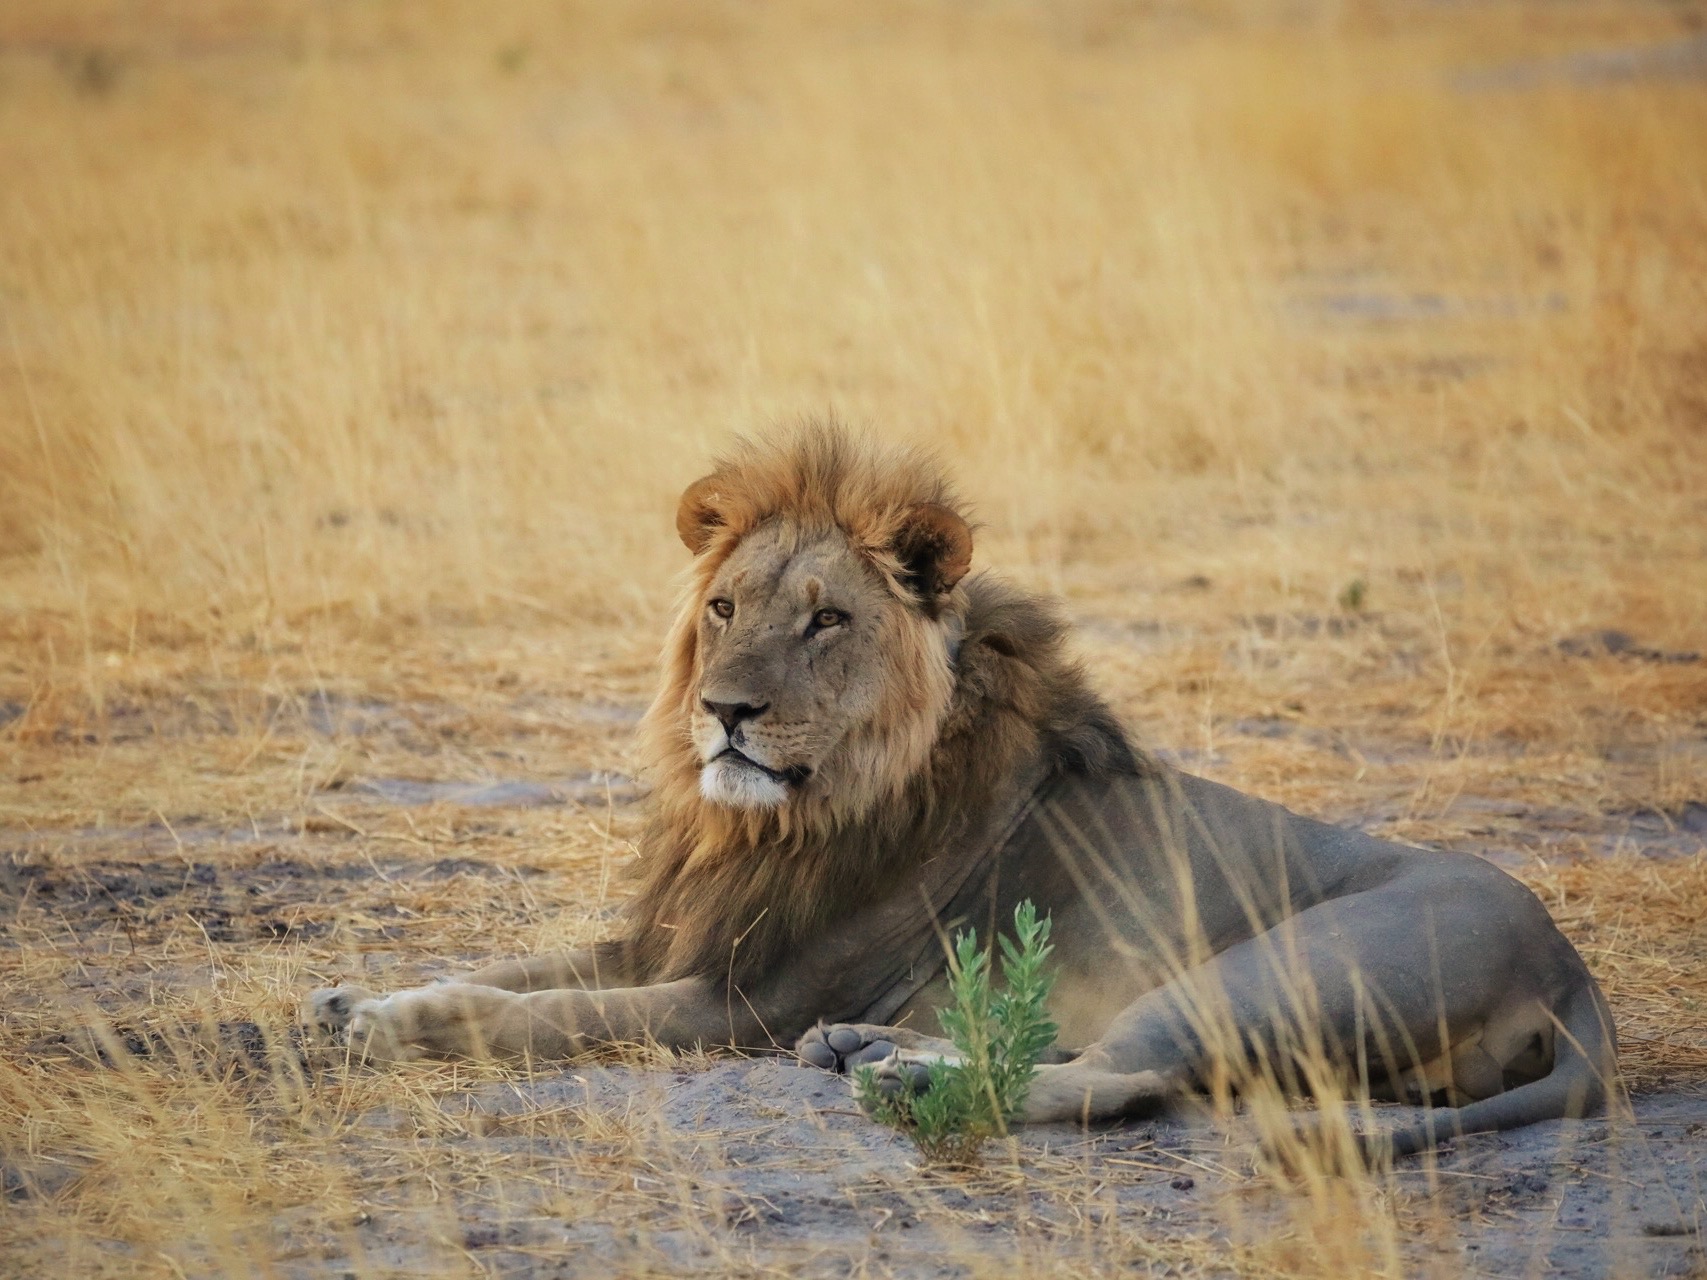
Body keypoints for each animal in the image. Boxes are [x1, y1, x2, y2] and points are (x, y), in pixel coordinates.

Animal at [306, 422, 1616, 1159]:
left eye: (826, 619)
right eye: (724, 606)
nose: (724, 709)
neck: (793, 816)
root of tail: (1574, 972)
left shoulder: (739, 1000)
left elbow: (547, 1010)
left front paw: (396, 1027)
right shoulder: (685, 934)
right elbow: (515, 966)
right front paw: (352, 996)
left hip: (1265, 971)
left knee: (1121, 1079)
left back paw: (898, 1073)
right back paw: (865, 1047)